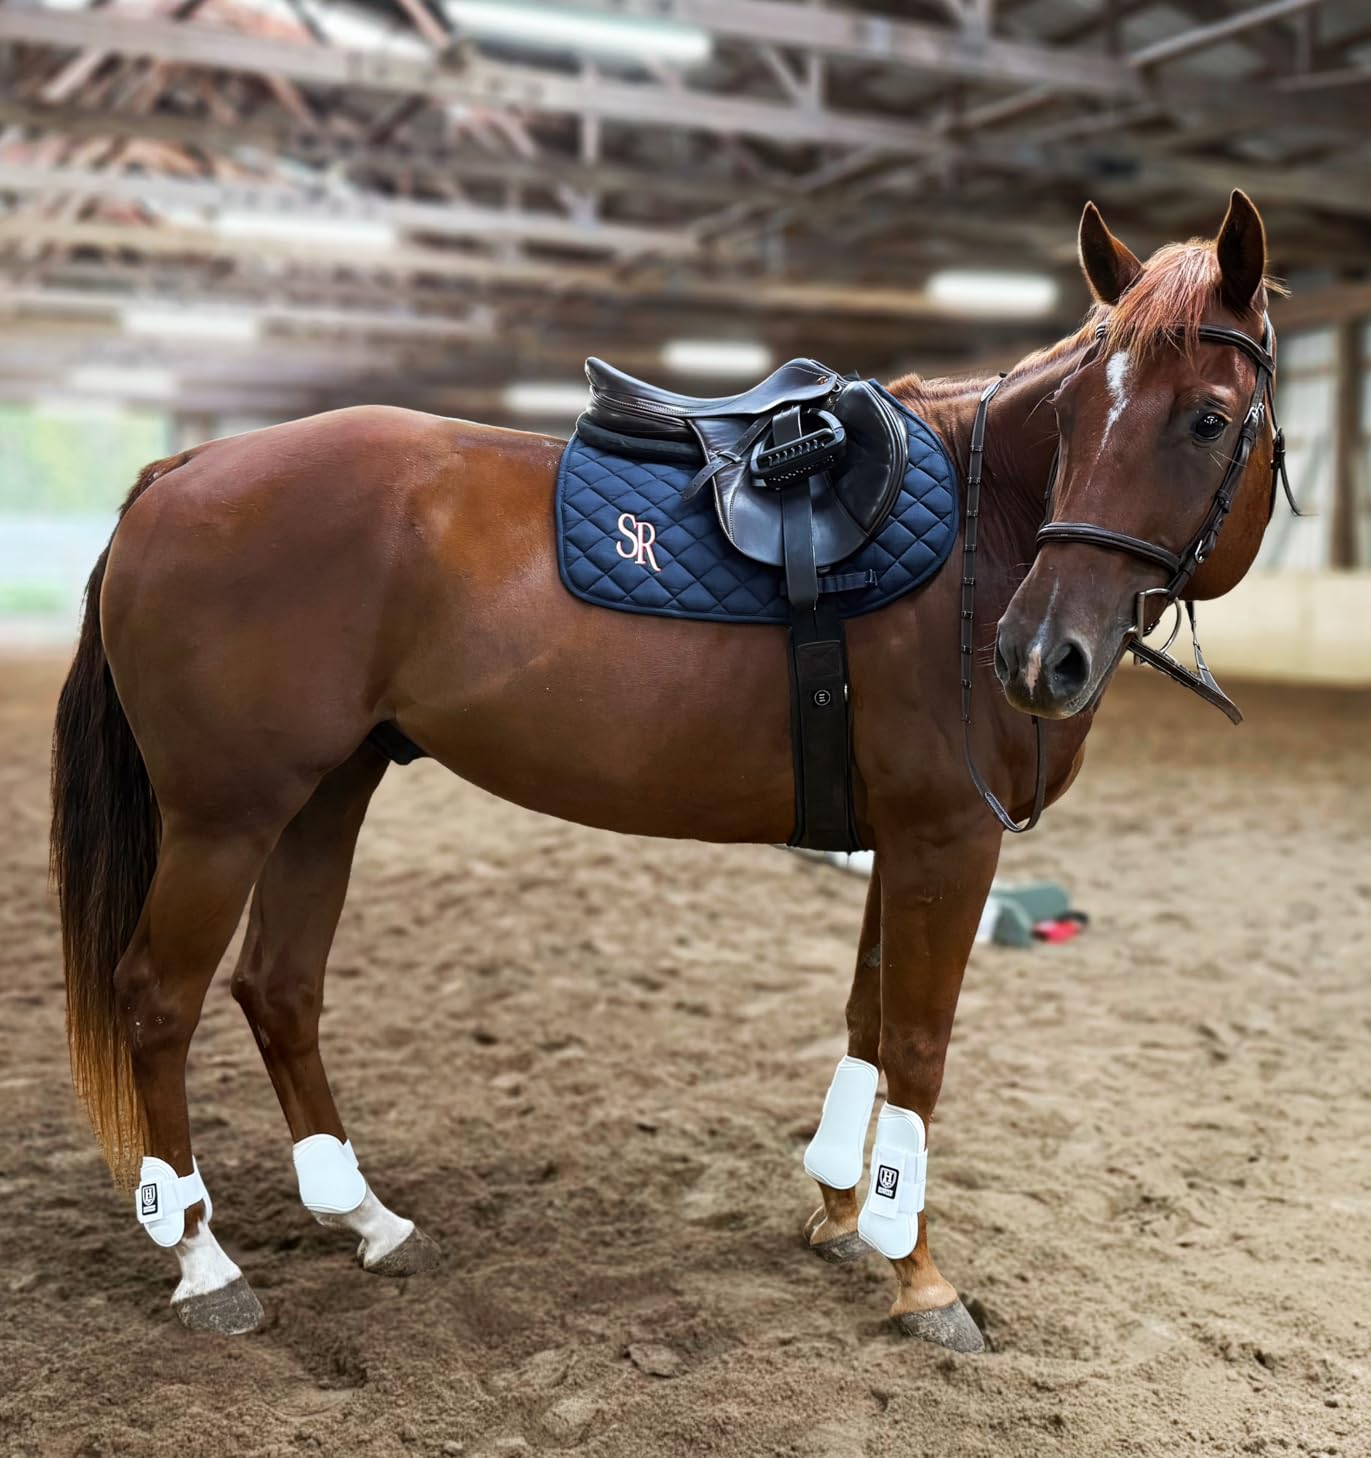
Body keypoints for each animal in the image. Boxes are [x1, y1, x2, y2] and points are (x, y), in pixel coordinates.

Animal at [51, 191, 1288, 1346]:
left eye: (1207, 419)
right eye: (1076, 415)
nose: (1039, 655)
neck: (984, 542)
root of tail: (189, 464)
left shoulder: (899, 838)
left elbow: (866, 1018)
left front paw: (842, 1214)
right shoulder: (951, 839)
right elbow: (920, 1047)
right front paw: (918, 1272)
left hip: (326, 793)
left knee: (280, 988)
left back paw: (369, 1220)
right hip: (225, 818)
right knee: (158, 1000)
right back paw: (206, 1263)